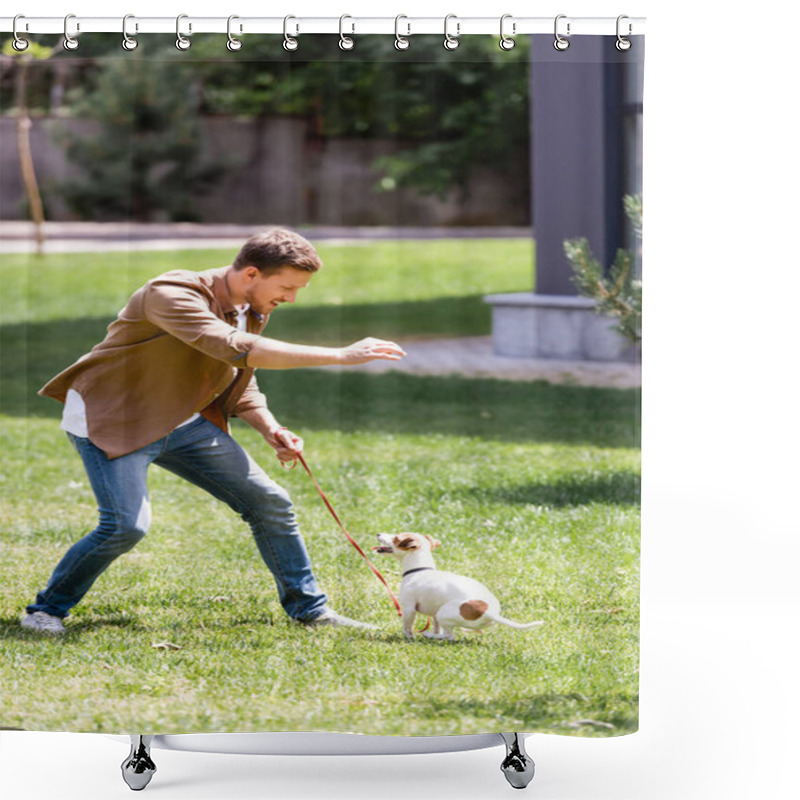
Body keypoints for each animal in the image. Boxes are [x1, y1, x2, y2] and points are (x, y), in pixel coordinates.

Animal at [376, 536, 544, 640]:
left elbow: (407, 626)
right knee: (466, 631)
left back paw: (430, 636)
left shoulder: (409, 609)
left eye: (395, 537)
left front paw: (408, 636)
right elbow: (436, 626)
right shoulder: (434, 614)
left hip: (443, 613)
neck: (419, 570)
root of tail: (488, 611)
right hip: (443, 614)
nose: (378, 533)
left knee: (449, 637)